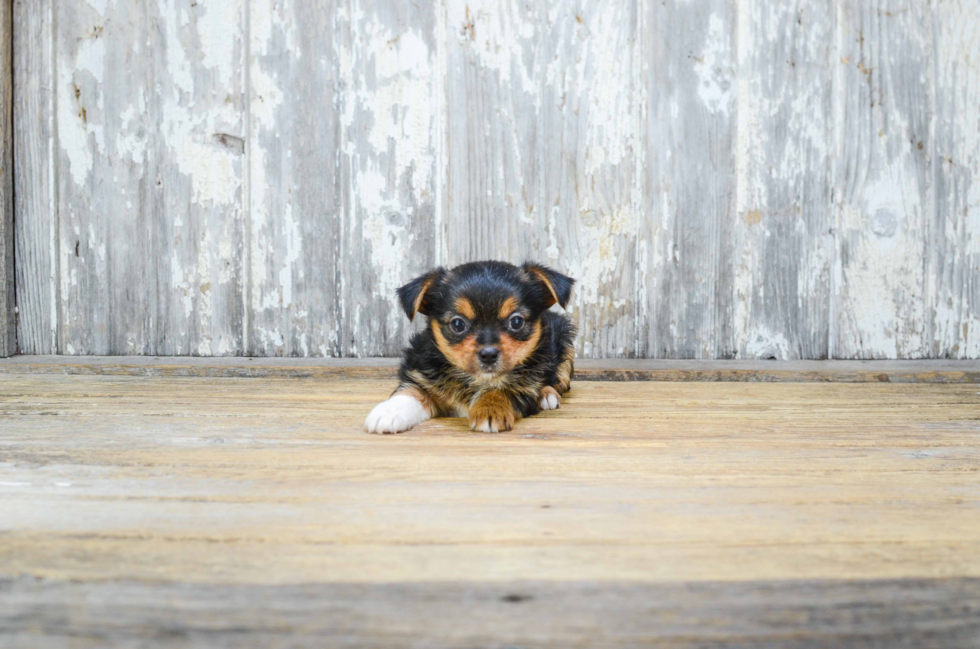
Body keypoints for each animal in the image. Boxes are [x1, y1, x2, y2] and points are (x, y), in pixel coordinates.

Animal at [366, 260, 576, 432]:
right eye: (458, 324)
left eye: (516, 322)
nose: (488, 354)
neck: (476, 380)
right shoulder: (421, 374)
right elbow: (411, 391)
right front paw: (389, 411)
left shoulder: (526, 384)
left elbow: (504, 388)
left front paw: (490, 408)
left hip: (565, 343)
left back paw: (547, 395)